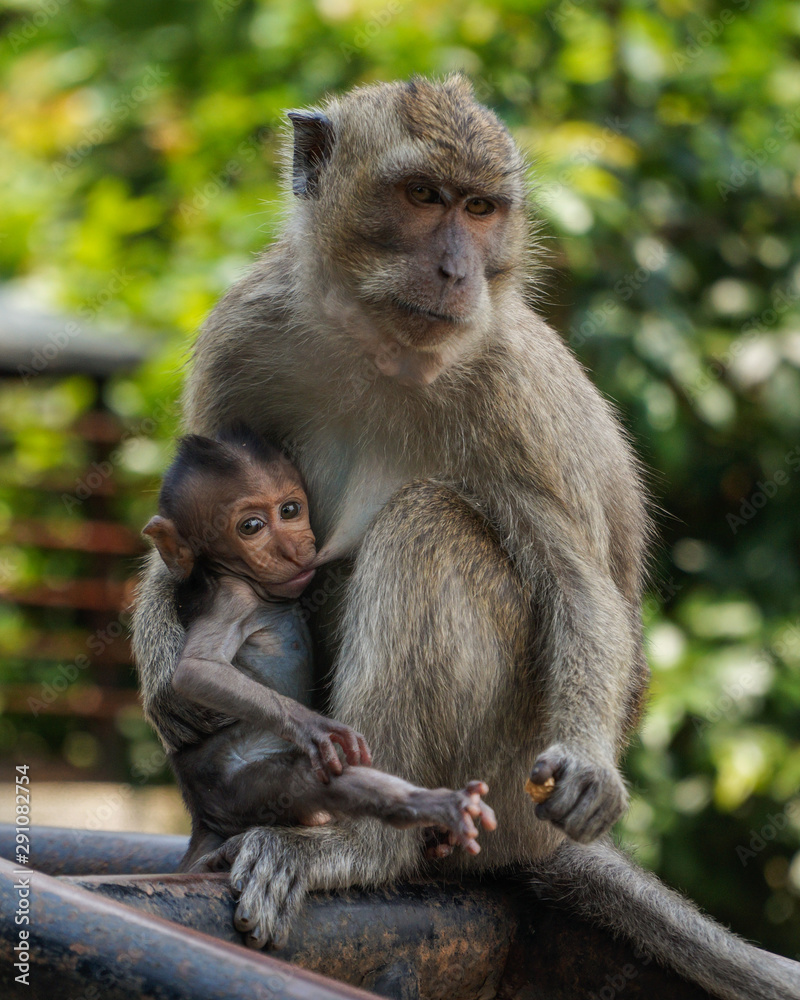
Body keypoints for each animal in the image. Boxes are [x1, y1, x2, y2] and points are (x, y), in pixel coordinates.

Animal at [143, 426, 494, 872]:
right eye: (252, 526)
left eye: (290, 509)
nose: (295, 547)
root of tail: (200, 815)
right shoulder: (231, 600)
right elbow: (195, 670)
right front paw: (313, 726)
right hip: (239, 787)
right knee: (311, 779)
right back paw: (436, 807)